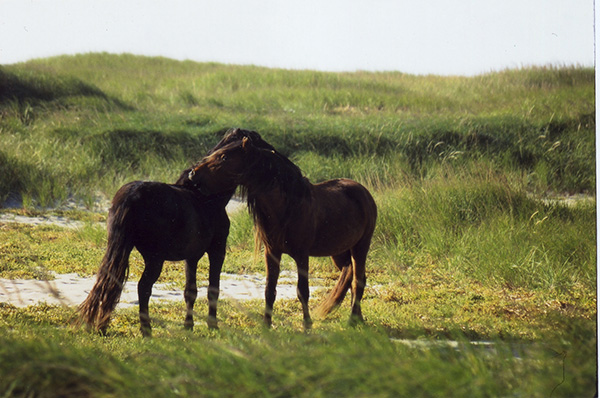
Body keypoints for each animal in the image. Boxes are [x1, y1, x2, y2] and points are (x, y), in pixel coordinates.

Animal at [79, 127, 272, 336]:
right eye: (257, 141)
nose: (273, 153)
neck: (205, 198)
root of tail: (131, 195)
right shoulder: (217, 251)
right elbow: (213, 288)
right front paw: (212, 325)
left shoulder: (192, 257)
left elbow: (190, 291)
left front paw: (189, 326)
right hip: (154, 258)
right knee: (143, 287)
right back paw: (146, 330)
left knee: (110, 282)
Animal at [189, 135, 376, 328]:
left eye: (224, 157)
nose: (193, 173)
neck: (287, 207)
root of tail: (364, 192)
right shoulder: (272, 253)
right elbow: (269, 290)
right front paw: (266, 324)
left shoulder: (302, 255)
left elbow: (303, 291)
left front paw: (307, 325)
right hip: (339, 254)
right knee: (353, 278)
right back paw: (358, 318)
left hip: (360, 247)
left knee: (358, 281)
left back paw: (353, 320)